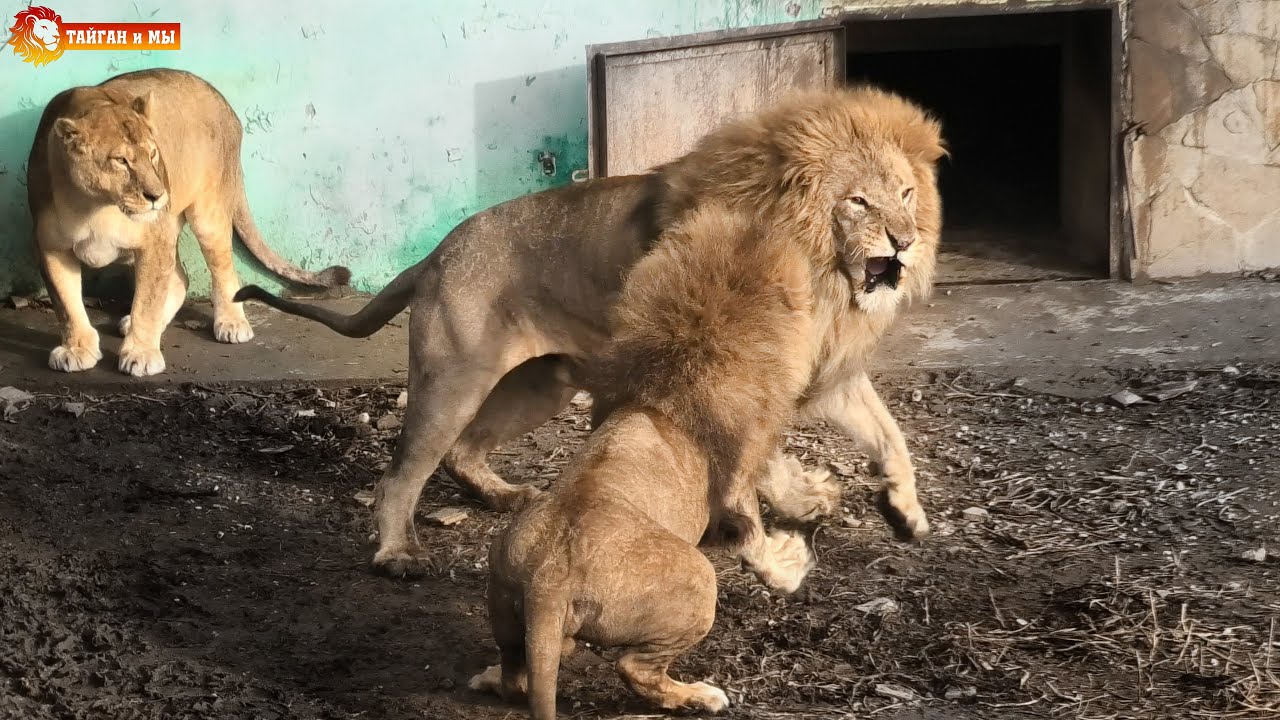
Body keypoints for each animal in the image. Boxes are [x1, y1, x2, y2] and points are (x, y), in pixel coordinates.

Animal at [27, 68, 351, 377]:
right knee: (180, 277)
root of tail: (224, 103)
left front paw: (141, 354)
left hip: (208, 215)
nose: (158, 195)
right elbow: (67, 304)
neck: (94, 205)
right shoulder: (52, 248)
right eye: (121, 161)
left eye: (153, 154)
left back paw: (231, 324)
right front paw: (76, 350)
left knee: (222, 270)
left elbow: (147, 302)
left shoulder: (153, 242)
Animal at [235, 85, 944, 577]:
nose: (904, 243)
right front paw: (800, 505)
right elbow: (756, 460)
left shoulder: (820, 369)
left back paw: (504, 497)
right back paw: (396, 553)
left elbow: (890, 434)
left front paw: (902, 511)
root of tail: (436, 253)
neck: (823, 272)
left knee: (464, 451)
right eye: (859, 201)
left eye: (907, 194)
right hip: (451, 379)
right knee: (403, 473)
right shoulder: (737, 371)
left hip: (543, 384)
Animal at [469, 204, 817, 719]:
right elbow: (754, 535)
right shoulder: (737, 480)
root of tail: (550, 578)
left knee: (519, 672)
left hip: (505, 589)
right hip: (699, 582)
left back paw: (496, 675)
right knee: (635, 668)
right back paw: (701, 696)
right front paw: (790, 566)